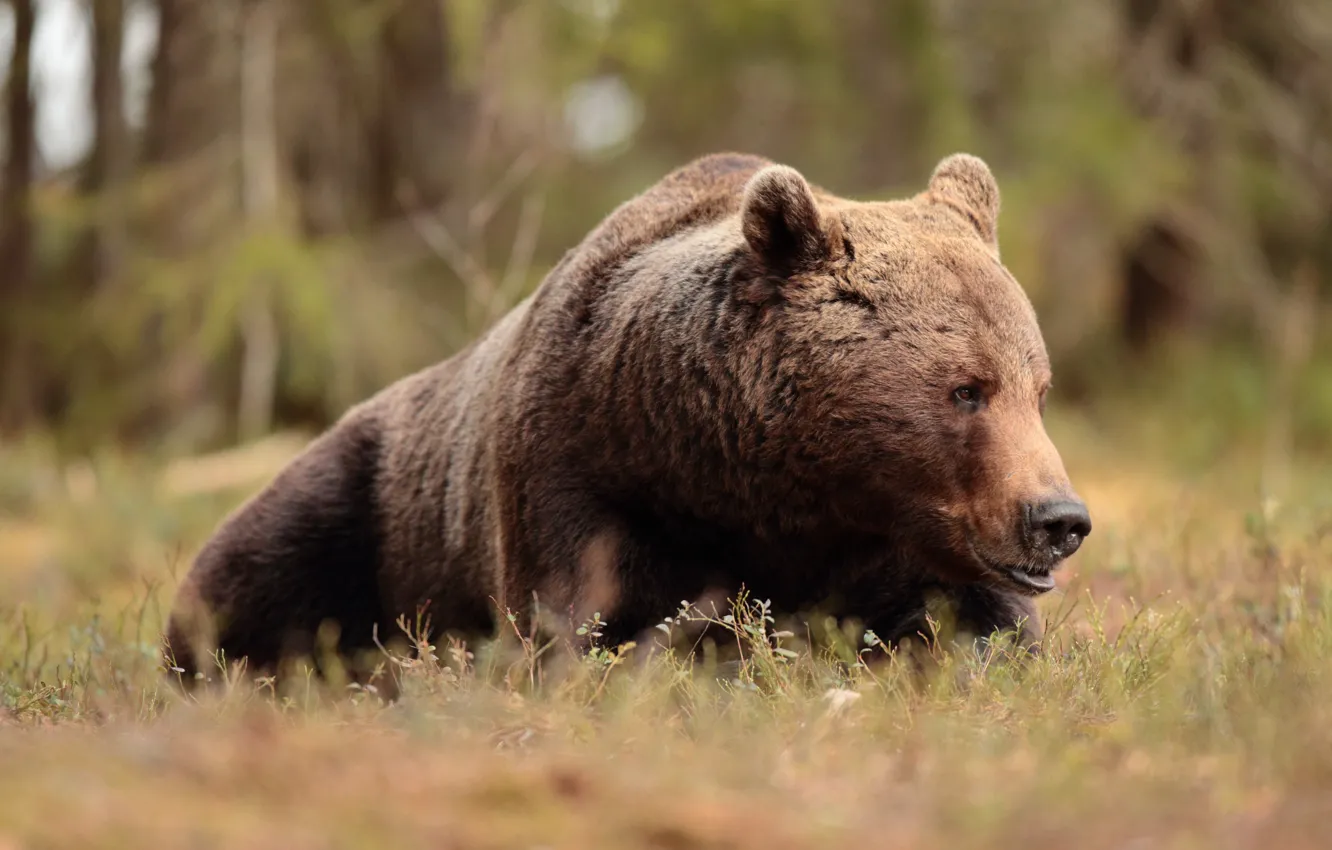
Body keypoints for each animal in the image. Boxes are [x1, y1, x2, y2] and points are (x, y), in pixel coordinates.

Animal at [163, 151, 1091, 687]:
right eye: (966, 388)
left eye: (1038, 387)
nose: (1058, 519)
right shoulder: (582, 465)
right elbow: (589, 627)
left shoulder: (905, 541)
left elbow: (985, 628)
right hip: (372, 496)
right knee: (250, 574)